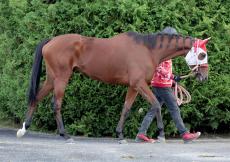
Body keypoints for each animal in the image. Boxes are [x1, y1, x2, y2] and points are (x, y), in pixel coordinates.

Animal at [16, 29, 210, 142]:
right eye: (202, 55)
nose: (204, 77)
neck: (148, 49)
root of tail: (51, 41)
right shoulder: (139, 84)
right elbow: (156, 104)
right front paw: (160, 134)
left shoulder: (133, 86)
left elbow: (126, 108)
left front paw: (120, 135)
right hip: (61, 78)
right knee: (56, 104)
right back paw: (65, 135)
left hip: (51, 79)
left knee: (36, 98)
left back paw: (24, 129)